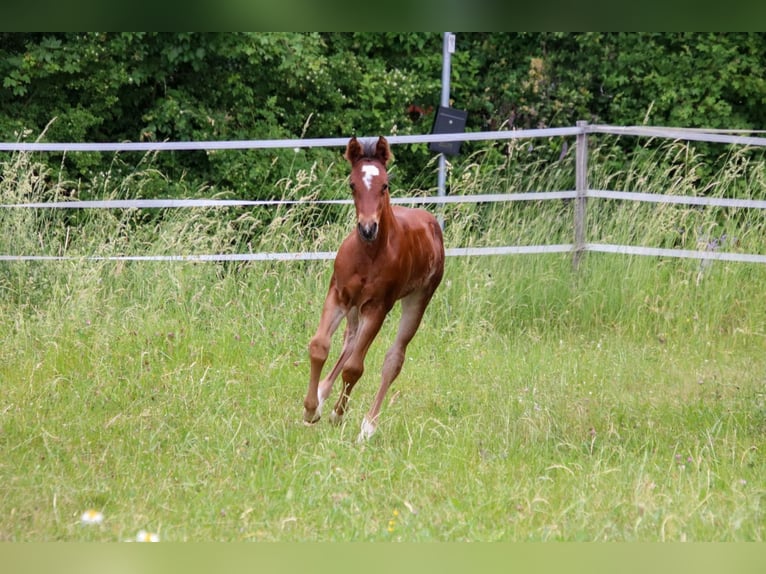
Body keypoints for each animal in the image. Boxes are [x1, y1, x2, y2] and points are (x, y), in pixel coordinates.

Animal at [302, 136, 445, 442]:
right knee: (349, 343)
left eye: (385, 185)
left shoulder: (378, 307)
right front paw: (310, 409)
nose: (368, 228)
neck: (367, 254)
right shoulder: (338, 294)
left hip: (418, 298)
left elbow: (355, 368)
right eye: (352, 184)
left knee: (393, 359)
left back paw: (368, 426)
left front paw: (337, 414)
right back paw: (321, 394)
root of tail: (430, 221)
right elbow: (320, 346)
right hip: (354, 308)